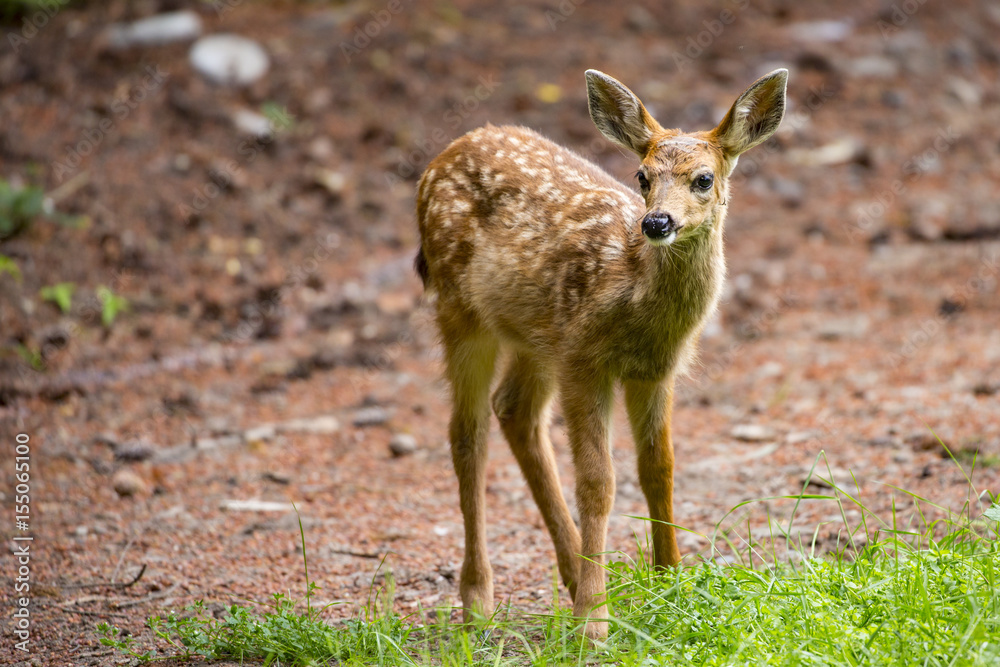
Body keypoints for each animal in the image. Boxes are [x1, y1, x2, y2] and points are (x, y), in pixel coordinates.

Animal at [414, 68, 787, 639]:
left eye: (704, 179)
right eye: (642, 176)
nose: (657, 223)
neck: (632, 293)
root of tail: (434, 166)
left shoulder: (653, 371)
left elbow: (659, 467)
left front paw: (670, 582)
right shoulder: (583, 361)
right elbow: (598, 481)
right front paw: (595, 619)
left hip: (535, 334)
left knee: (514, 411)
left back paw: (570, 575)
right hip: (461, 309)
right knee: (467, 433)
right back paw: (480, 599)